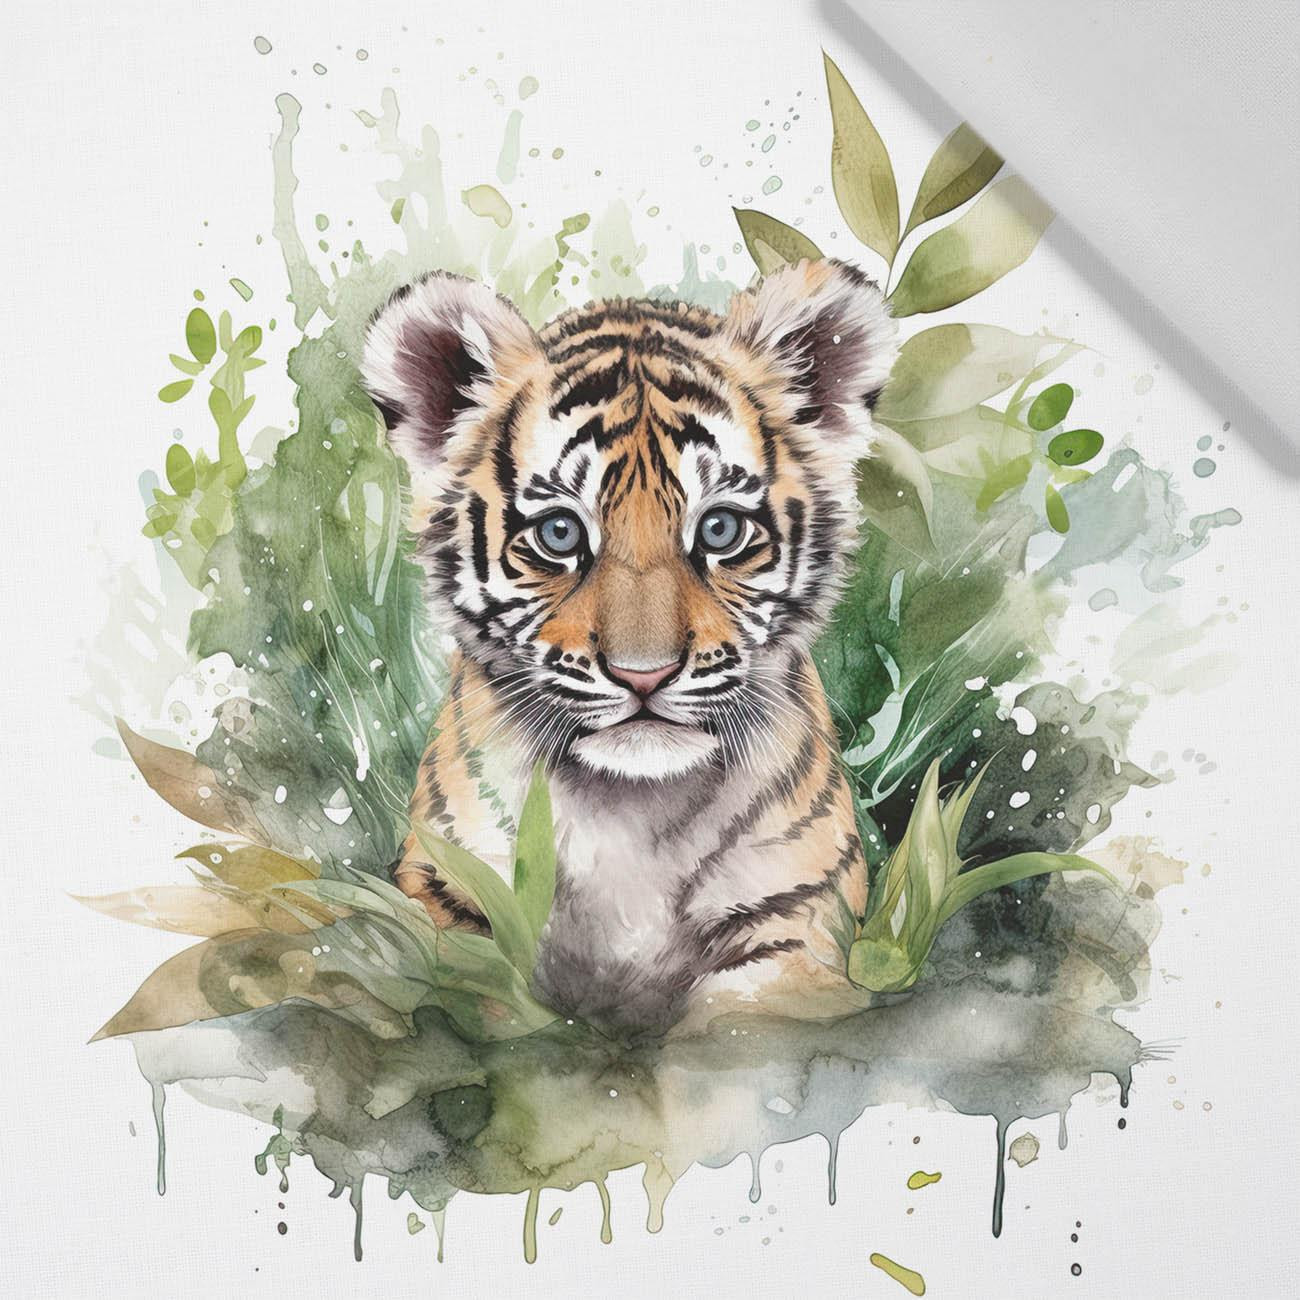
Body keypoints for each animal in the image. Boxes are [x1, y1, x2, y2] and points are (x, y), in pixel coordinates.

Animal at [361, 257, 898, 1034]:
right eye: (559, 534)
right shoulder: (450, 894)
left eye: (720, 530)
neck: (633, 812)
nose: (644, 676)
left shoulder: (794, 923)